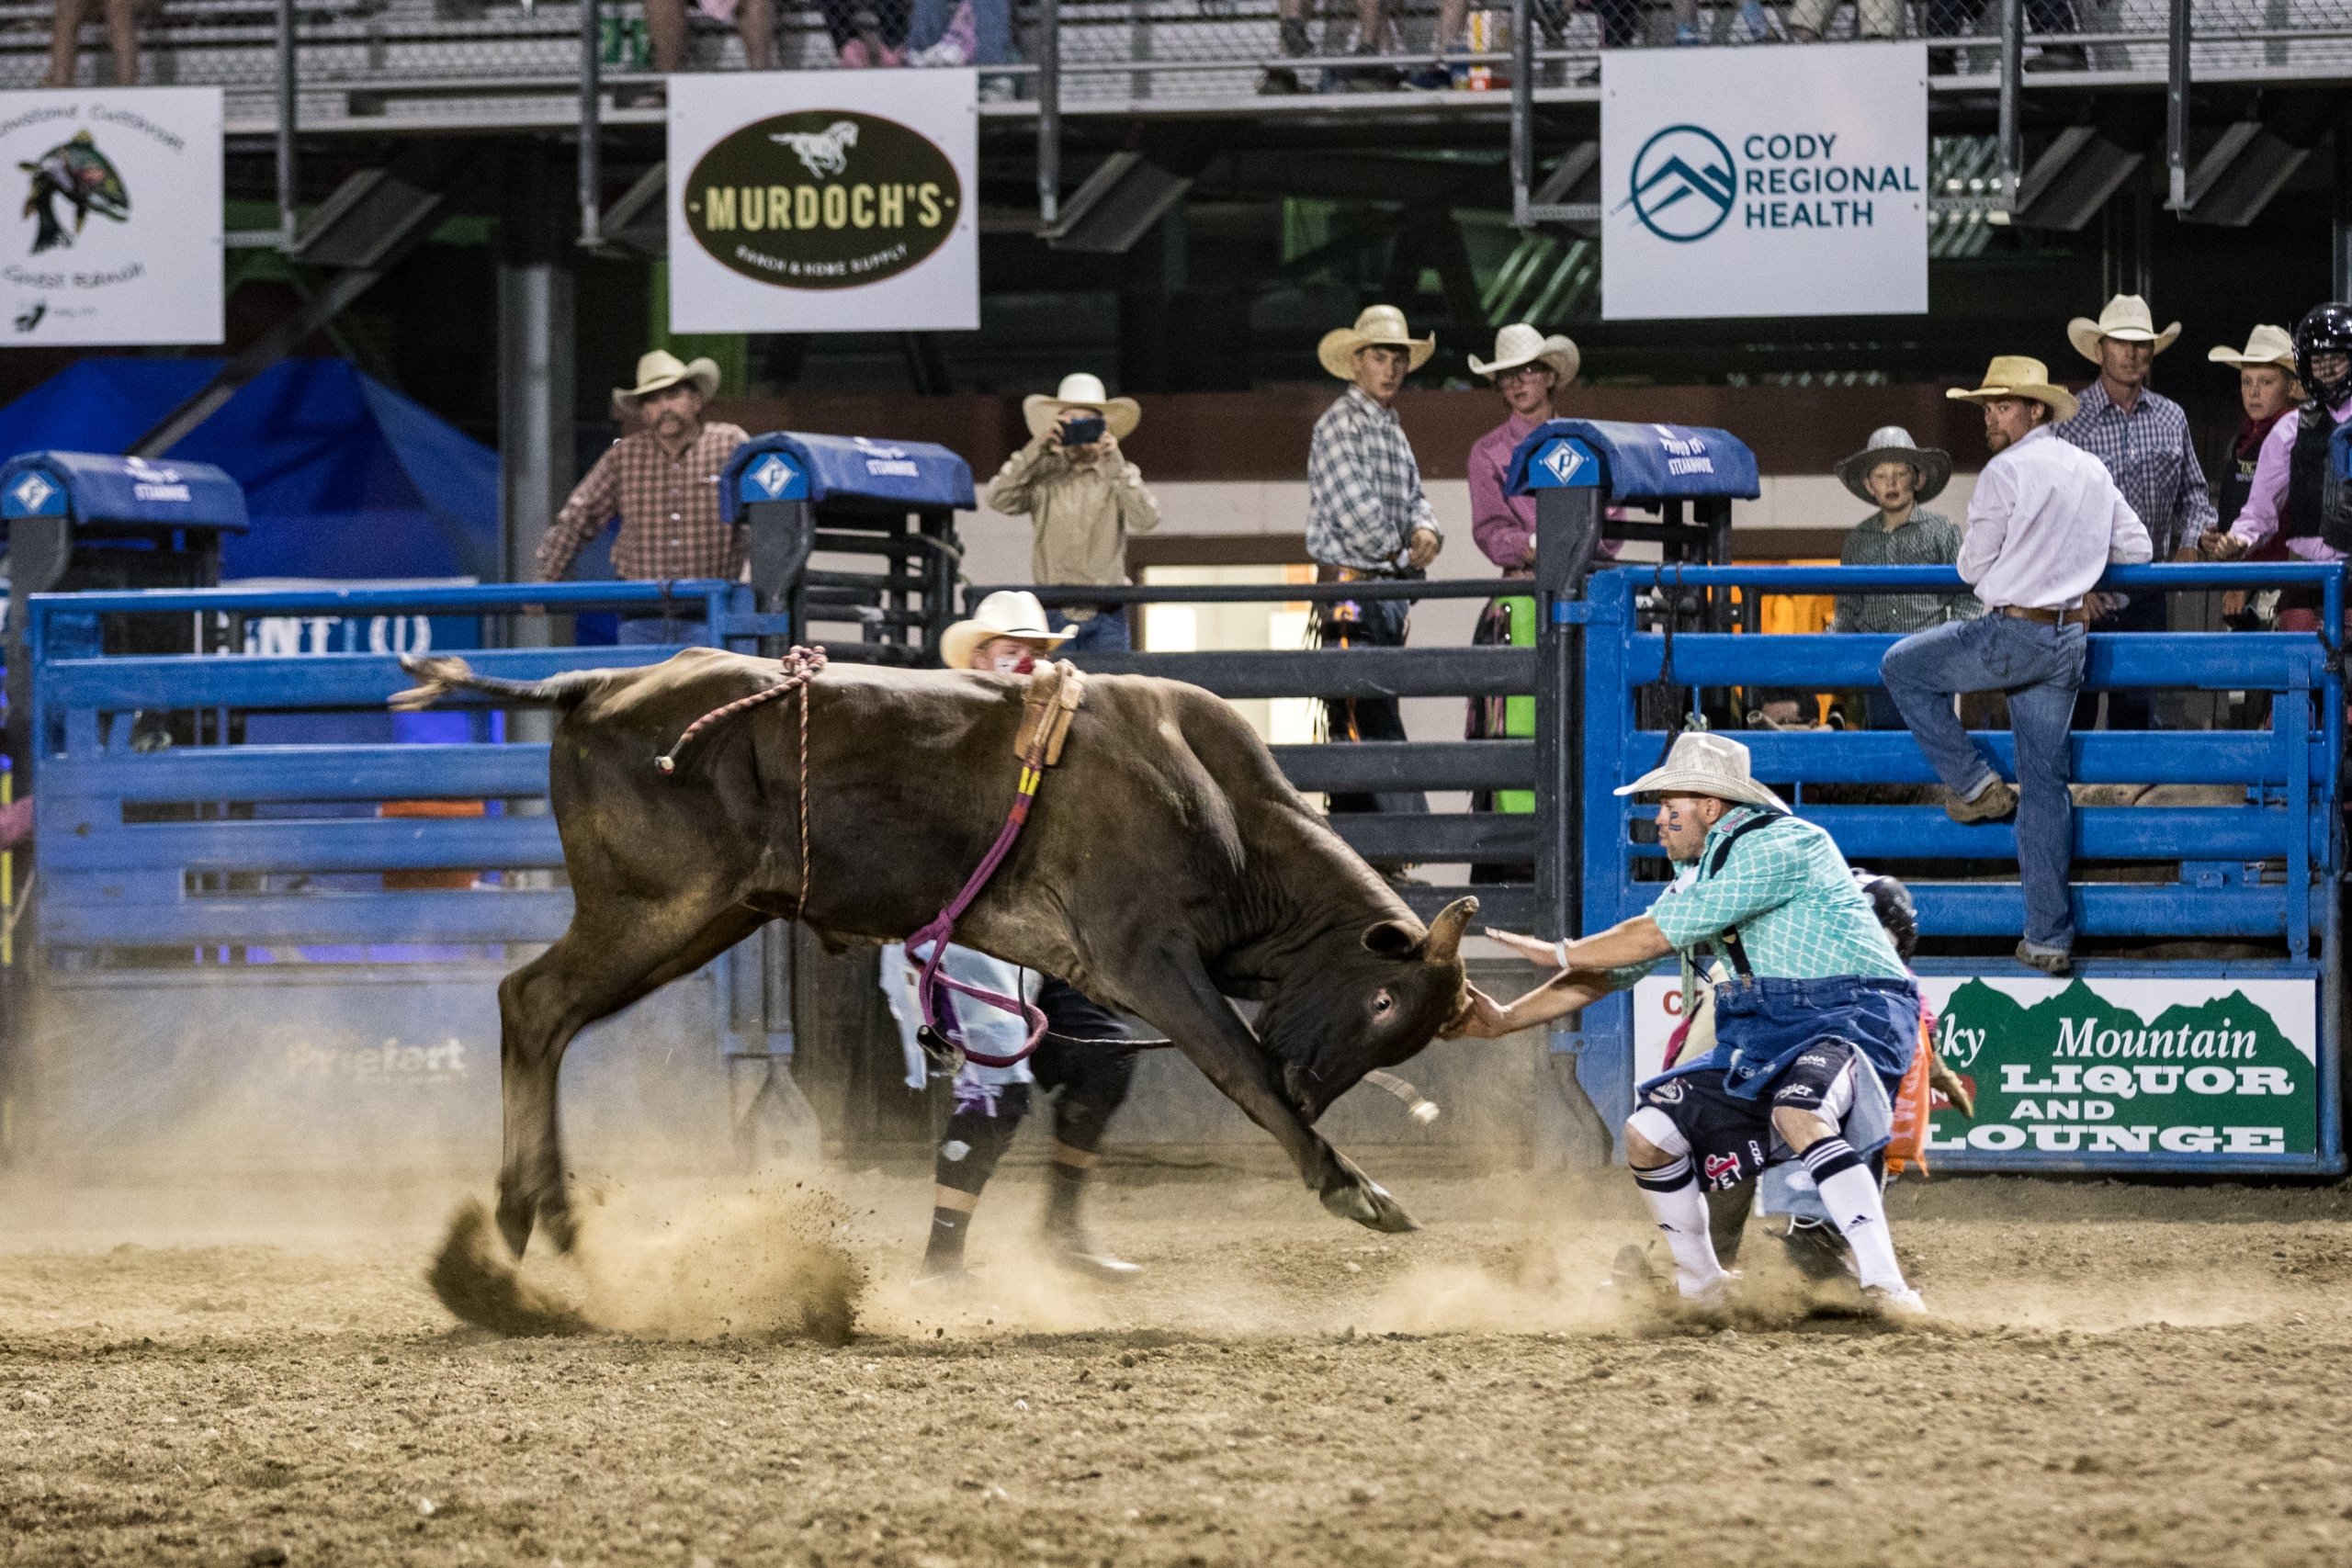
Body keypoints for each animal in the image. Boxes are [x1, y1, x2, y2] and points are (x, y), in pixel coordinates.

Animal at [395, 649, 1476, 1259]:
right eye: (1383, 1003)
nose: (1312, 1088)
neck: (1217, 809)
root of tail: (601, 684)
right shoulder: (1150, 959)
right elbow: (1238, 1068)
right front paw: (1355, 1188)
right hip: (649, 911)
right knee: (533, 1003)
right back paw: (529, 1216)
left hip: (696, 919)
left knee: (544, 1014)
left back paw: (543, 1218)